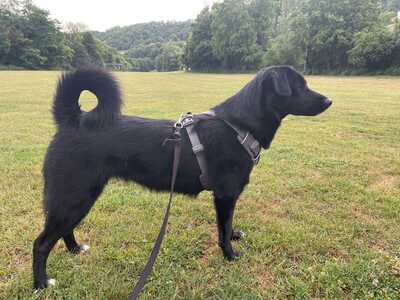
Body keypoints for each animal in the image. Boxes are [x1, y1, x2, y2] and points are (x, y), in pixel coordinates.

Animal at [32, 65, 332, 288]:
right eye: (300, 86)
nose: (329, 100)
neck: (239, 125)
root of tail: (73, 120)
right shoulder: (225, 195)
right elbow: (222, 230)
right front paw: (230, 255)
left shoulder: (227, 197)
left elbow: (228, 226)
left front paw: (234, 236)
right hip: (74, 195)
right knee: (41, 243)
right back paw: (41, 284)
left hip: (79, 196)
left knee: (64, 229)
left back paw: (74, 249)